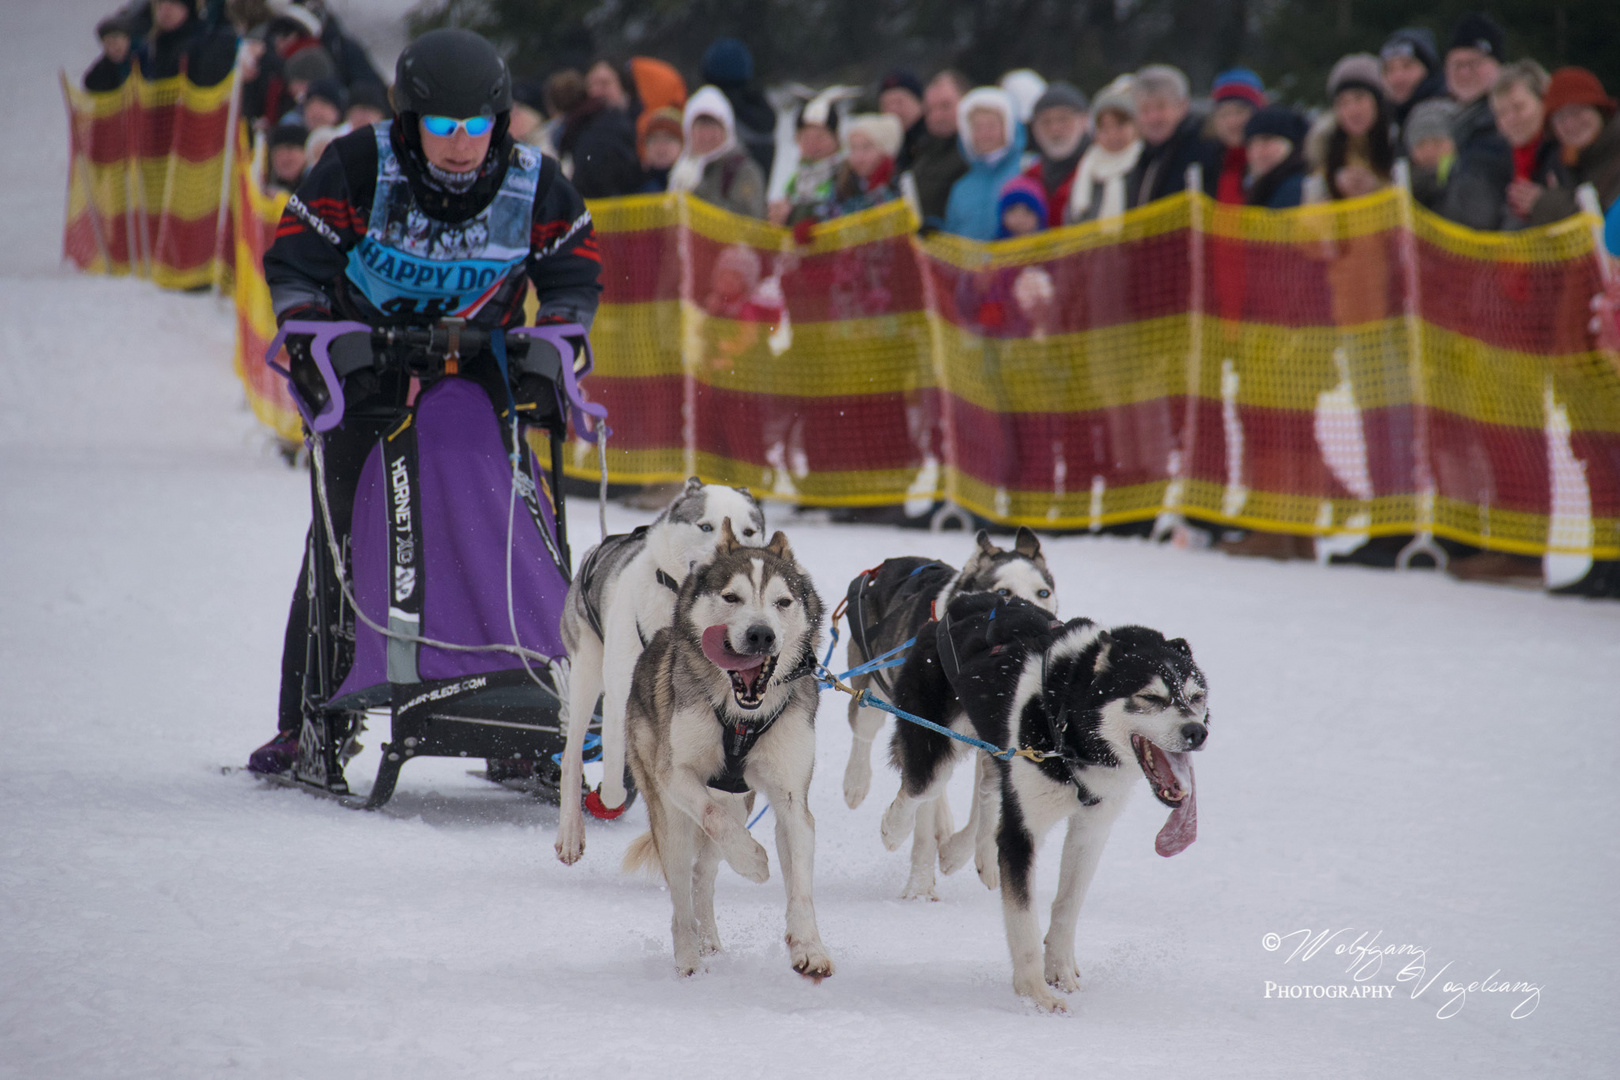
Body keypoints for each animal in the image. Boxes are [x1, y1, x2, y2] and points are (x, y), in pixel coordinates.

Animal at [557, 476, 764, 867]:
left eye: (749, 531)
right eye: (705, 526)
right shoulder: (622, 697)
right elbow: (616, 778)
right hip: (586, 674)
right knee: (572, 756)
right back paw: (571, 831)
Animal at [612, 524, 829, 977]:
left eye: (783, 601)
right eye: (732, 597)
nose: (761, 634)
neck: (743, 716)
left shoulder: (791, 798)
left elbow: (800, 882)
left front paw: (809, 947)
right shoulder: (675, 774)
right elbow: (714, 819)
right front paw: (754, 862)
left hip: (739, 804)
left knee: (703, 876)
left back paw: (708, 941)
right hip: (671, 819)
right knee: (682, 894)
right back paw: (689, 959)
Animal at [848, 527, 1062, 900]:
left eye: (1043, 592)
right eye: (1003, 591)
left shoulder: (994, 745)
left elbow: (986, 804)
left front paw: (968, 856)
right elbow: (924, 807)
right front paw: (920, 885)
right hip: (877, 688)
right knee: (866, 729)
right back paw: (856, 782)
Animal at [894, 592, 1211, 1016]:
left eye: (1196, 697)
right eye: (1150, 697)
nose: (1197, 731)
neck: (1068, 725)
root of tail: (965, 600)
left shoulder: (1090, 830)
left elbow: (1066, 905)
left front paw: (1060, 972)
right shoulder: (1022, 834)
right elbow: (1023, 919)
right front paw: (1036, 995)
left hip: (994, 755)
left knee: (985, 796)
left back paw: (959, 852)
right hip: (936, 746)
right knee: (918, 790)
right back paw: (896, 832)